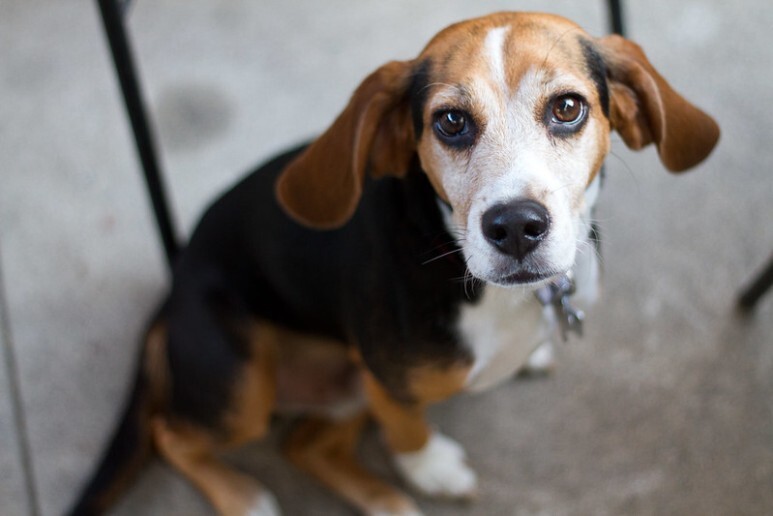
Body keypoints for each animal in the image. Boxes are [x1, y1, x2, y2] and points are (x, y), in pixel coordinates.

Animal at [69, 12, 720, 516]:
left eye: (567, 107)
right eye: (450, 121)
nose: (515, 226)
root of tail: (171, 291)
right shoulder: (384, 377)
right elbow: (406, 426)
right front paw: (431, 468)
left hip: (335, 386)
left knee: (303, 444)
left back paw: (385, 504)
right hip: (242, 387)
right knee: (169, 434)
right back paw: (246, 498)